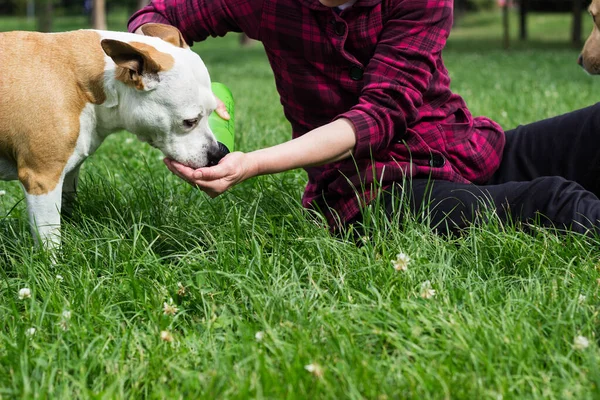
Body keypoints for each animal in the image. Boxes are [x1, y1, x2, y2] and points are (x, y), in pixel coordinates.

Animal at [0, 23, 223, 248]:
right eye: (189, 122)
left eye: (212, 112)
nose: (218, 154)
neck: (83, 83)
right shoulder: (42, 179)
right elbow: (50, 243)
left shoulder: (69, 174)